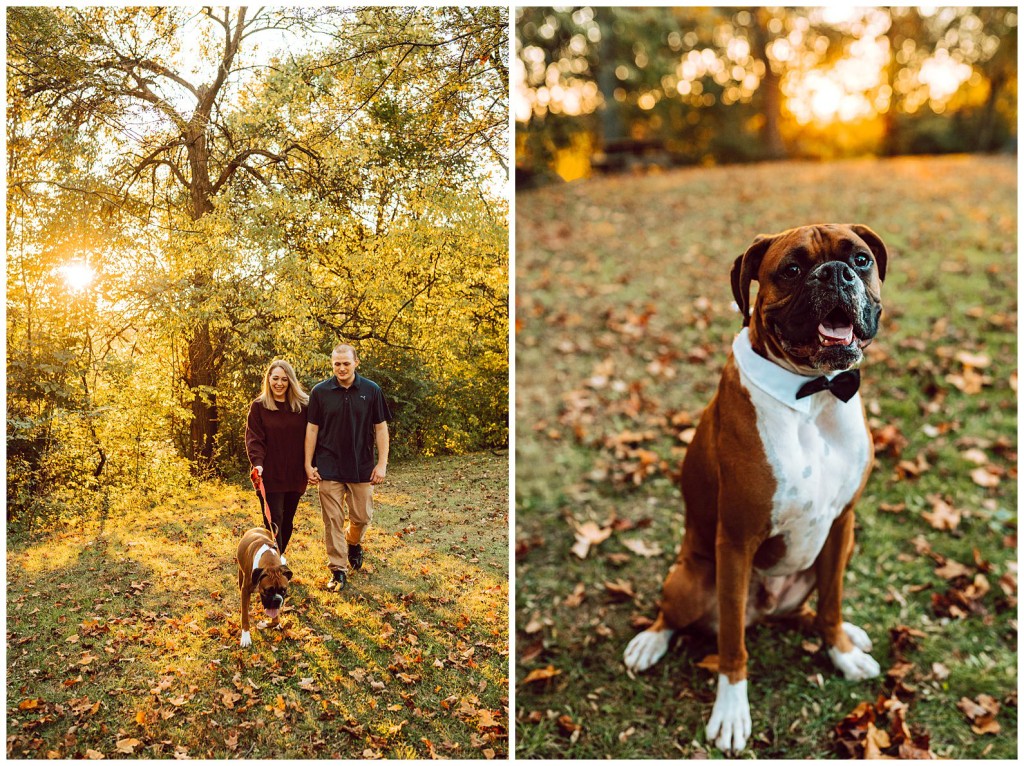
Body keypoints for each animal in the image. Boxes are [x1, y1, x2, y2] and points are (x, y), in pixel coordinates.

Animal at [622, 224, 888, 749]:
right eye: (792, 269)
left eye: (862, 260)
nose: (836, 273)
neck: (814, 397)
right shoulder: (736, 541)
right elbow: (731, 643)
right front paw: (730, 710)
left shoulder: (842, 523)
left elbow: (831, 603)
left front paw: (842, 652)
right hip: (692, 580)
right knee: (674, 615)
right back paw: (650, 641)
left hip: (829, 555)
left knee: (814, 606)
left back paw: (847, 632)